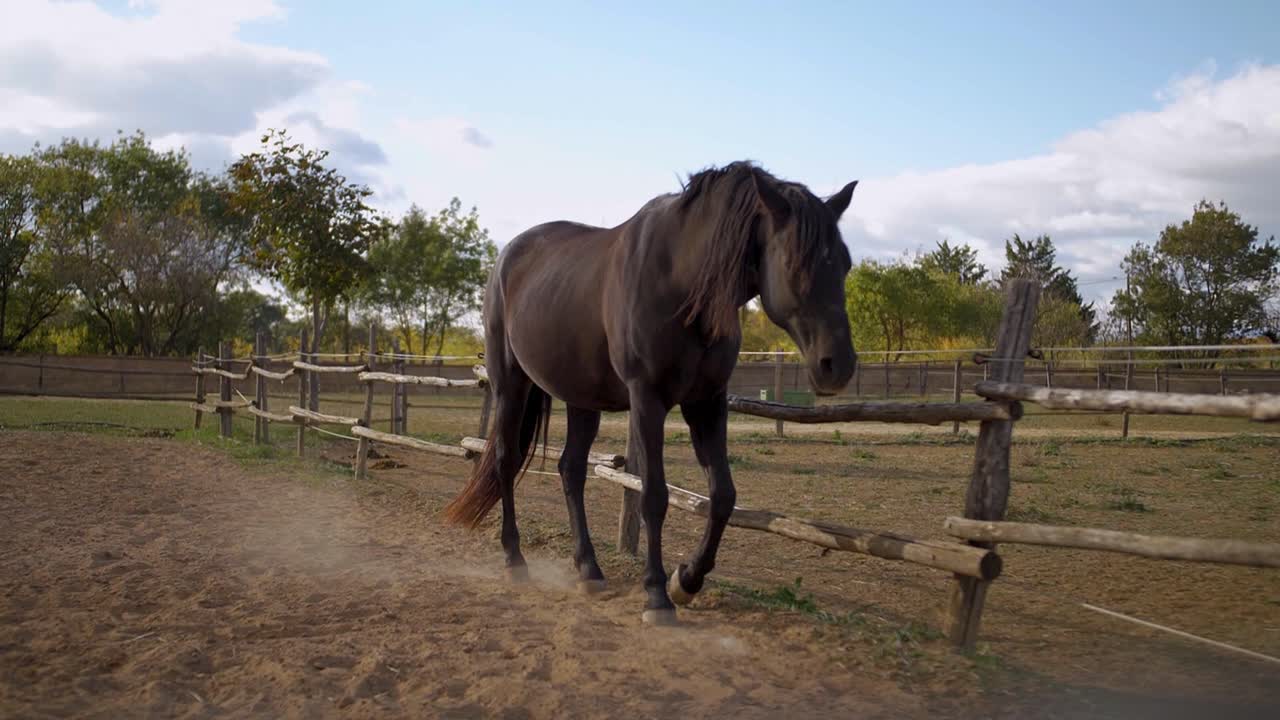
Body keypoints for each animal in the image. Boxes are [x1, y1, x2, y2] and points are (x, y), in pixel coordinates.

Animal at [443, 161, 858, 624]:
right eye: (795, 264)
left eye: (845, 264)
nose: (838, 366)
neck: (682, 282)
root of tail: (506, 257)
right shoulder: (647, 400)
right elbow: (654, 496)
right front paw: (657, 594)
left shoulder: (707, 402)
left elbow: (723, 496)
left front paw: (686, 581)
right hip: (510, 384)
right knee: (505, 460)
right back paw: (515, 559)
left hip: (581, 399)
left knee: (571, 470)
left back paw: (589, 569)